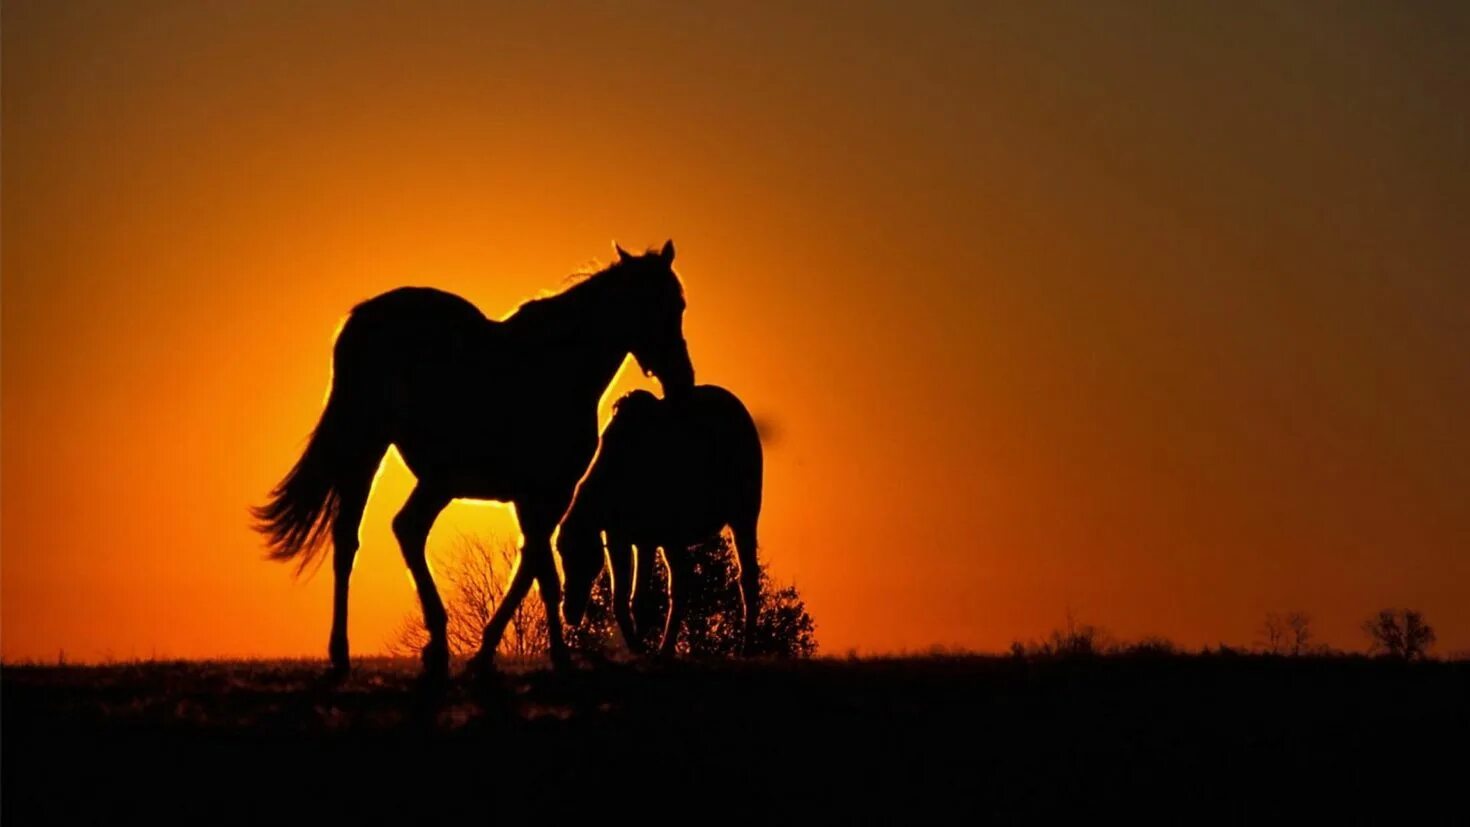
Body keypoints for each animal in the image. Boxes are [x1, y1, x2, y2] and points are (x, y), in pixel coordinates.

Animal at [249, 240, 690, 678]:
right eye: (656, 305)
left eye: (680, 304)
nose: (682, 380)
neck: (559, 367)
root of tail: (364, 318)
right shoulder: (548, 494)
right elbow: (541, 573)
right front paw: (550, 656)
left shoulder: (532, 499)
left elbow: (531, 568)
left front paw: (492, 651)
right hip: (392, 457)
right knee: (383, 532)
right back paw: (389, 649)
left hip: (411, 468)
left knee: (373, 533)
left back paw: (398, 650)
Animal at [555, 387, 764, 655]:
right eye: (561, 553)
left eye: (582, 556)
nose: (569, 611)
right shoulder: (621, 537)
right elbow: (624, 600)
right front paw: (638, 647)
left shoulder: (655, 537)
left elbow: (647, 597)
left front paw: (646, 648)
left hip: (743, 514)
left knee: (746, 578)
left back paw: (745, 648)